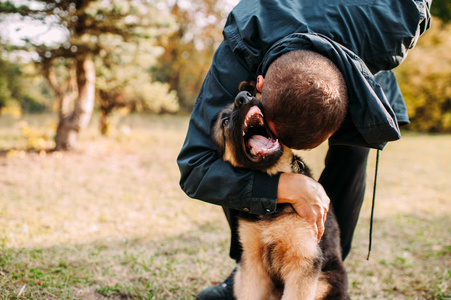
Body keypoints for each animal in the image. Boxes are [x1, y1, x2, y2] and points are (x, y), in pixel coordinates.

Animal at [212, 82, 350, 300]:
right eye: (225, 121)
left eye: (251, 94)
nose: (244, 96)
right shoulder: (252, 263)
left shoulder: (303, 260)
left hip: (325, 282)